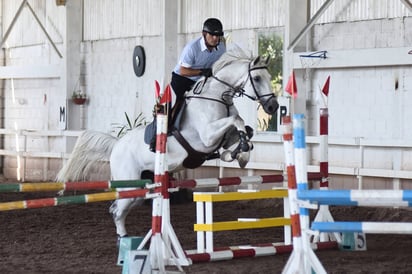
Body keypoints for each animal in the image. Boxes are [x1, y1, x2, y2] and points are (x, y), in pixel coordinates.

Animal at [55, 47, 280, 238]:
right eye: (257, 78)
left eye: (269, 77)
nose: (272, 106)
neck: (216, 98)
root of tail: (117, 145)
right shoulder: (207, 136)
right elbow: (237, 121)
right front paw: (241, 150)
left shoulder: (220, 136)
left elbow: (243, 130)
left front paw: (240, 153)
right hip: (129, 184)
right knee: (116, 210)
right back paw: (124, 241)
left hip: (142, 188)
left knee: (119, 209)